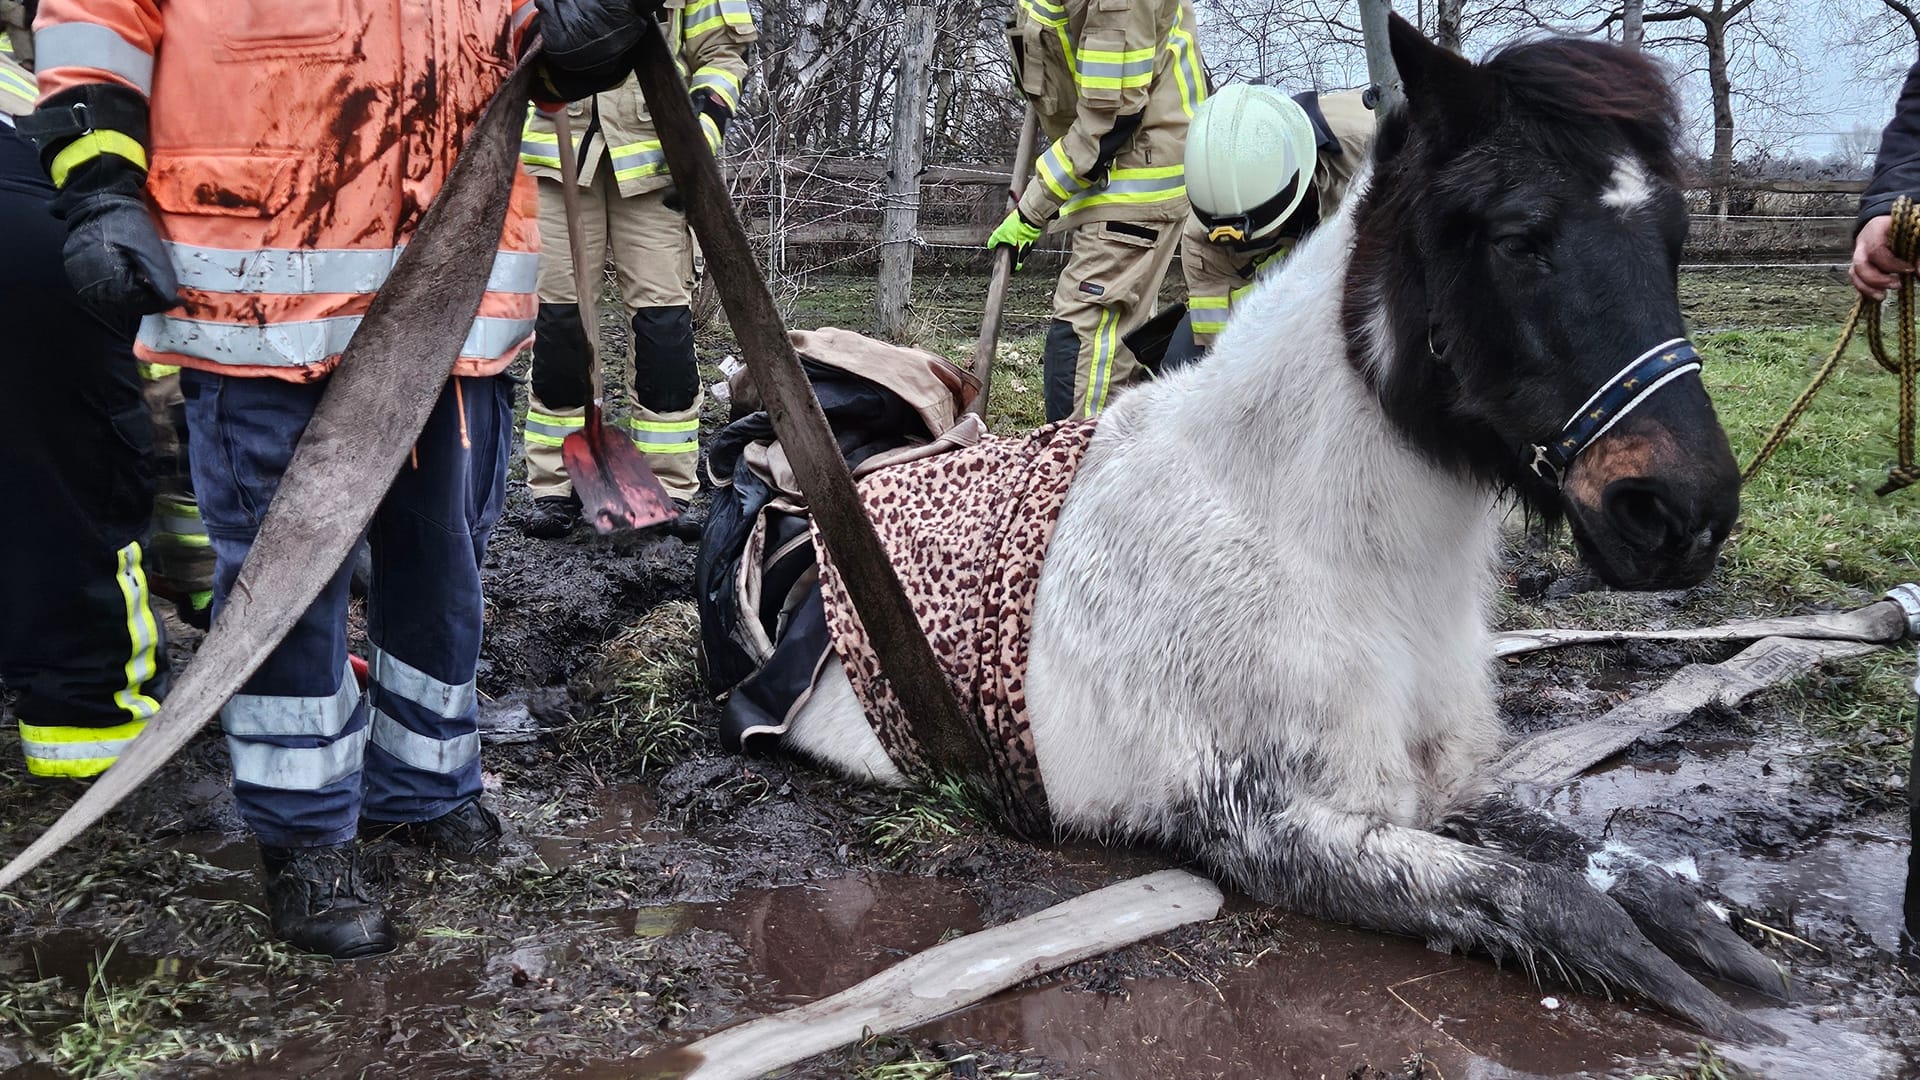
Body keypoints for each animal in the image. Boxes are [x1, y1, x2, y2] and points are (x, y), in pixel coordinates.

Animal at [775, 16, 1766, 1037]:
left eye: (1675, 239)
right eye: (1519, 237)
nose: (1681, 512)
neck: (1307, 548)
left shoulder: (1431, 787)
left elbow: (1616, 872)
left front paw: (1734, 955)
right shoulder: (1255, 823)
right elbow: (1551, 899)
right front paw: (1718, 1006)